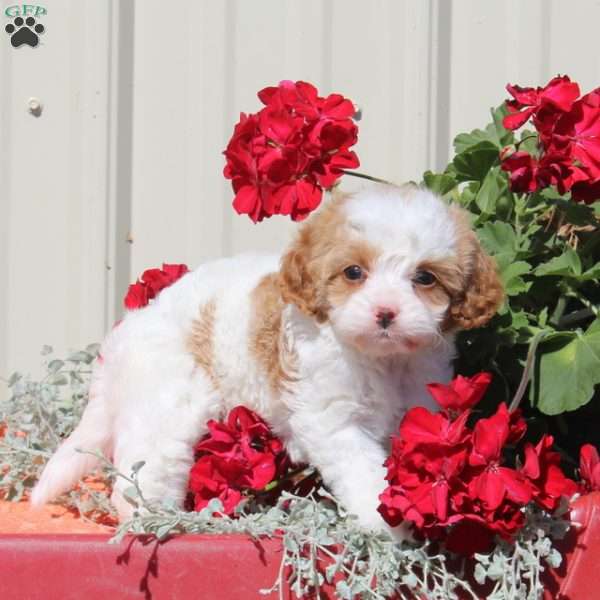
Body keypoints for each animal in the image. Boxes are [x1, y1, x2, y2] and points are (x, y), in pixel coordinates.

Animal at [31, 184, 502, 536]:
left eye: (424, 277)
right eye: (354, 273)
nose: (385, 313)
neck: (380, 359)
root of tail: (122, 340)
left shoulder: (418, 407)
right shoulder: (332, 420)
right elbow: (364, 472)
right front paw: (383, 523)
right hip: (168, 405)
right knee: (144, 471)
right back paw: (155, 520)